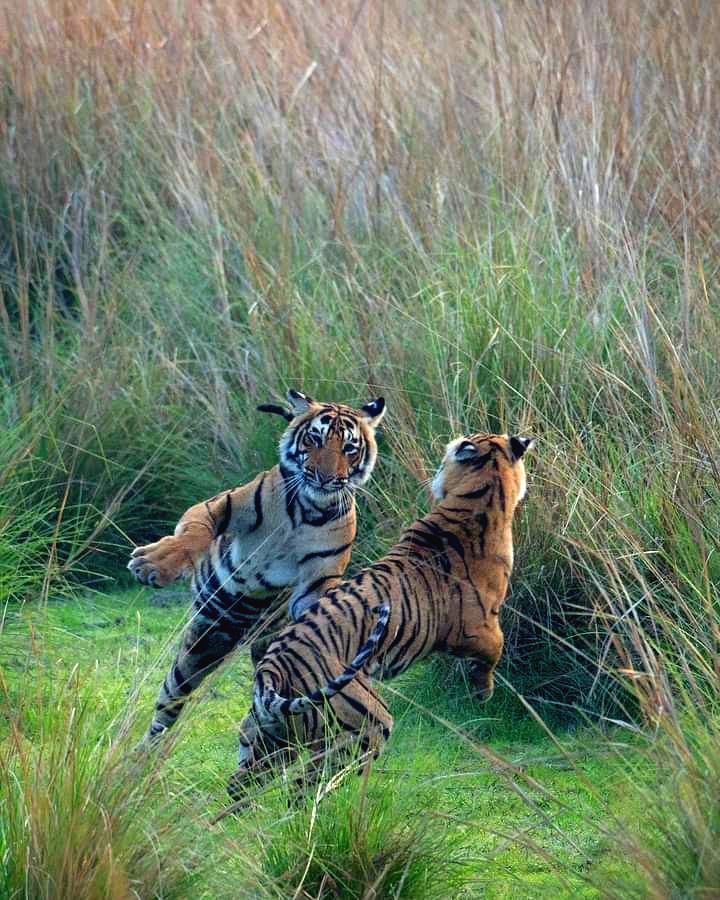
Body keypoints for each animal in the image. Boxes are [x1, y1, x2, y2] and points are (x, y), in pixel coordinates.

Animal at [128, 389, 386, 748]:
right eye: (314, 439)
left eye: (349, 448)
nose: (325, 479)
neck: (308, 509)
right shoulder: (222, 505)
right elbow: (193, 534)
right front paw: (154, 565)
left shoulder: (316, 583)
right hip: (202, 641)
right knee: (169, 701)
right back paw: (143, 752)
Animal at [227, 431, 533, 799]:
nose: (436, 472)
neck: (484, 494)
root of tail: (271, 669)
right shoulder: (480, 624)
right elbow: (494, 652)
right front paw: (483, 693)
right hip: (366, 723)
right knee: (304, 785)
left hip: (265, 737)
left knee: (241, 786)